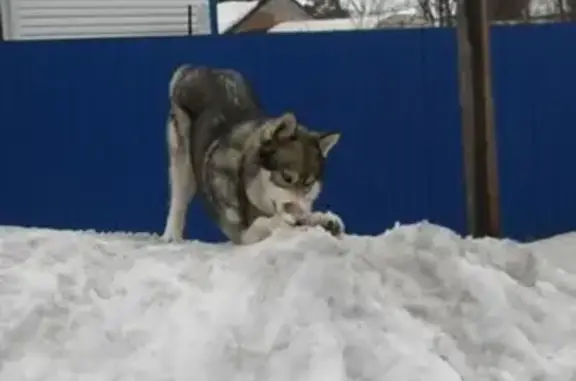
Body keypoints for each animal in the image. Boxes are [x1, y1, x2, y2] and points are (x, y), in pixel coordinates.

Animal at [160, 64, 344, 243]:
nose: (300, 216)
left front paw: (321, 218)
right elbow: (265, 222)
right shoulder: (242, 234)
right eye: (286, 177)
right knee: (178, 202)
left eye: (308, 183)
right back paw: (171, 236)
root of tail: (198, 68)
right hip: (182, 165)